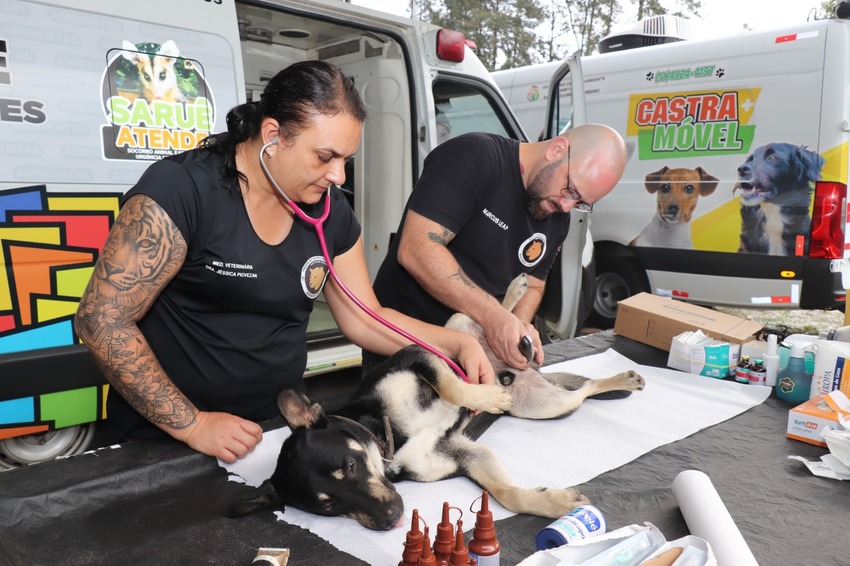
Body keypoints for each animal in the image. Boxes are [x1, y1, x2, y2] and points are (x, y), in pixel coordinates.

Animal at [229, 276, 644, 532]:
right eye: (329, 506)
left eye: (350, 465)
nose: (392, 518)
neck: (386, 434)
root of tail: (520, 366)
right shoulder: (464, 455)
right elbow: (508, 494)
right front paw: (555, 504)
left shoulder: (420, 356)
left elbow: (454, 387)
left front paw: (485, 394)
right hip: (541, 404)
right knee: (580, 388)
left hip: (457, 331)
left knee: (496, 321)